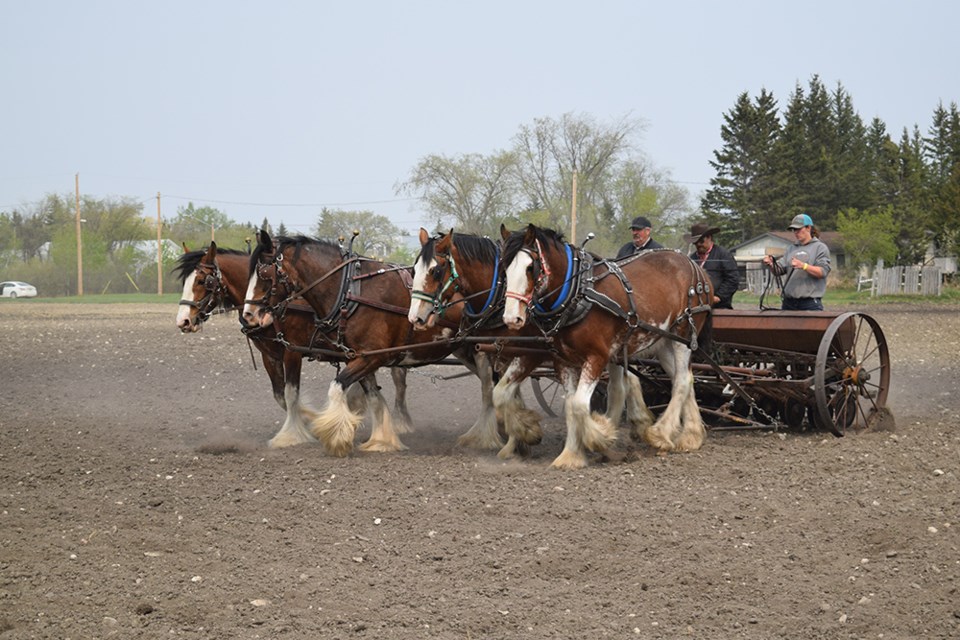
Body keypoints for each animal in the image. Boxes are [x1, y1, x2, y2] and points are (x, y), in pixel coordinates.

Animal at [502, 225, 712, 470]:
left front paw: (602, 435)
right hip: (663, 341)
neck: (577, 292)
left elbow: (580, 405)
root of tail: (696, 268)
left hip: (683, 335)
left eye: (530, 267)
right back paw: (690, 436)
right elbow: (571, 406)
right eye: (504, 268)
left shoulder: (597, 357)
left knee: (681, 382)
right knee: (685, 377)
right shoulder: (563, 361)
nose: (511, 318)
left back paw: (660, 434)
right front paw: (571, 455)